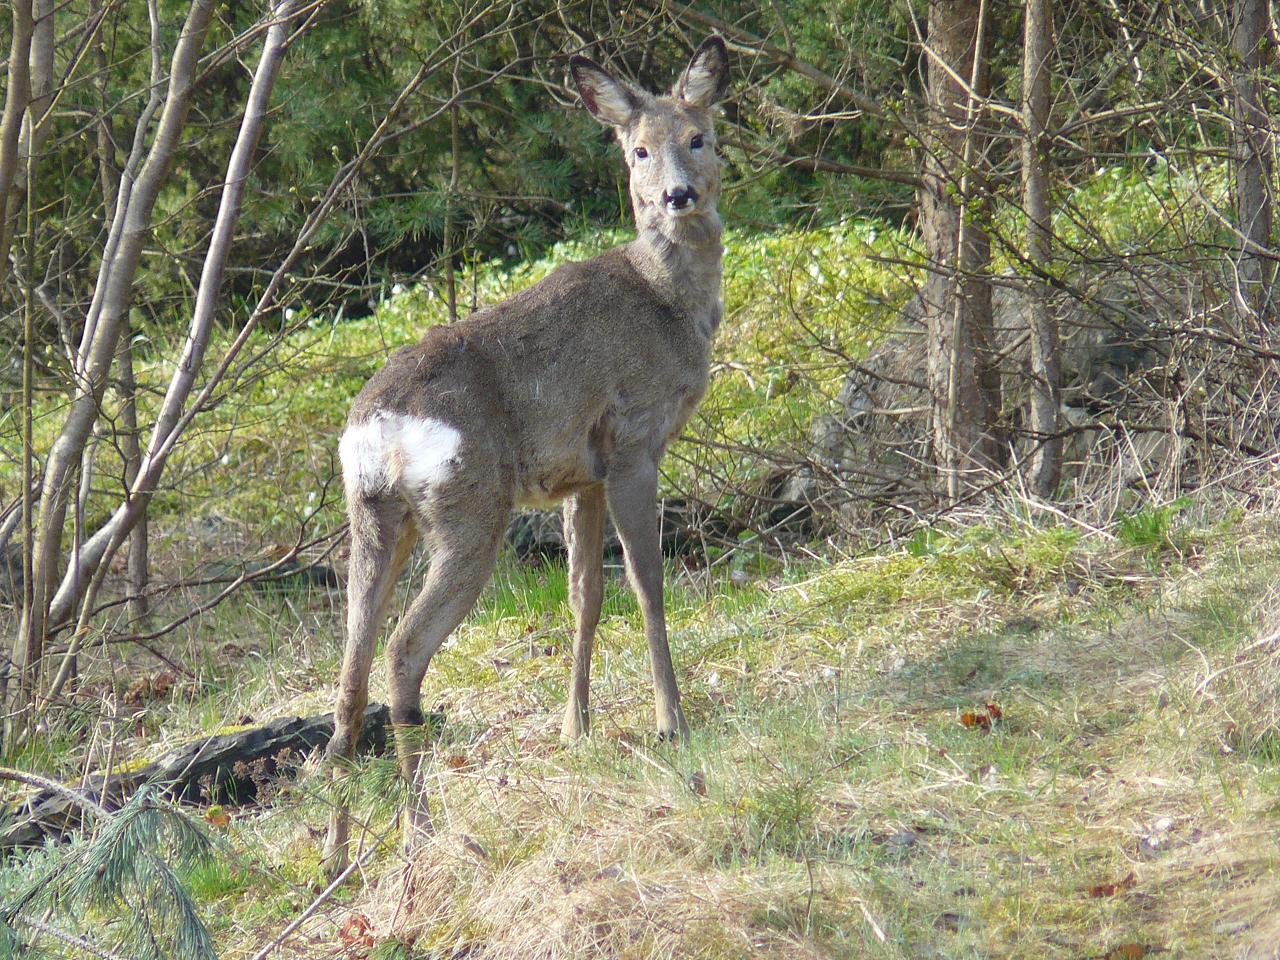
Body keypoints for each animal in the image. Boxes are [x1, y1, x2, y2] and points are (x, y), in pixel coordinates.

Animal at [322, 35, 732, 870]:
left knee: (349, 673)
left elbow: (586, 594)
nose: (677, 196)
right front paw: (671, 720)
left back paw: (340, 855)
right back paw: (422, 833)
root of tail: (378, 429)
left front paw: (576, 727)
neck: (668, 302)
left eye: (698, 136)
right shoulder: (633, 439)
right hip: (470, 507)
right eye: (639, 151)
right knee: (403, 652)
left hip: (374, 517)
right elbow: (648, 584)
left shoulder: (582, 474)